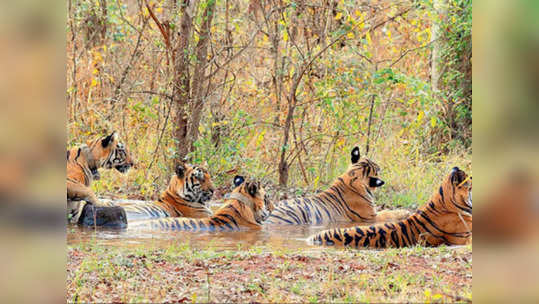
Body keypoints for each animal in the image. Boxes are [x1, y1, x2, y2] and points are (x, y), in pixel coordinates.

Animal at [266, 146, 410, 227]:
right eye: (377, 169)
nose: (380, 167)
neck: (352, 177)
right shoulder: (371, 217)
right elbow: (388, 213)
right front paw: (405, 212)